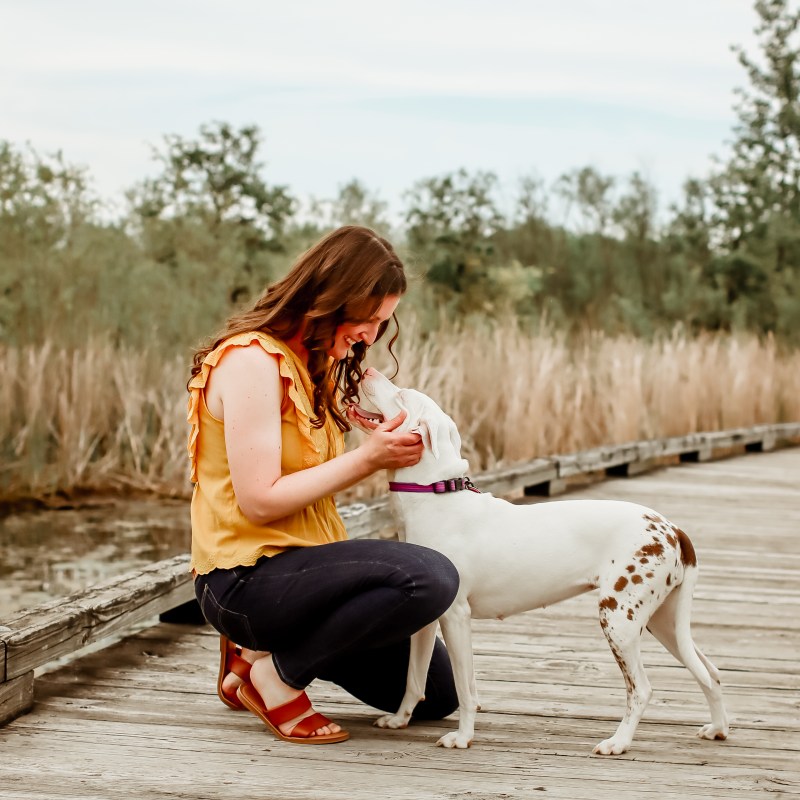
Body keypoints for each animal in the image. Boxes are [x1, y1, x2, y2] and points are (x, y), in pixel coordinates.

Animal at [348, 366, 724, 752]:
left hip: (619, 620)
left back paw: (617, 742)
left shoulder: (456, 618)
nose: (368, 369)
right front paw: (399, 720)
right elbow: (414, 678)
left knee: (642, 690)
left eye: (402, 395)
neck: (434, 496)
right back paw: (717, 728)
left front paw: (463, 737)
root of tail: (672, 528)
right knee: (710, 673)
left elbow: (467, 690)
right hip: (662, 622)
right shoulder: (427, 620)